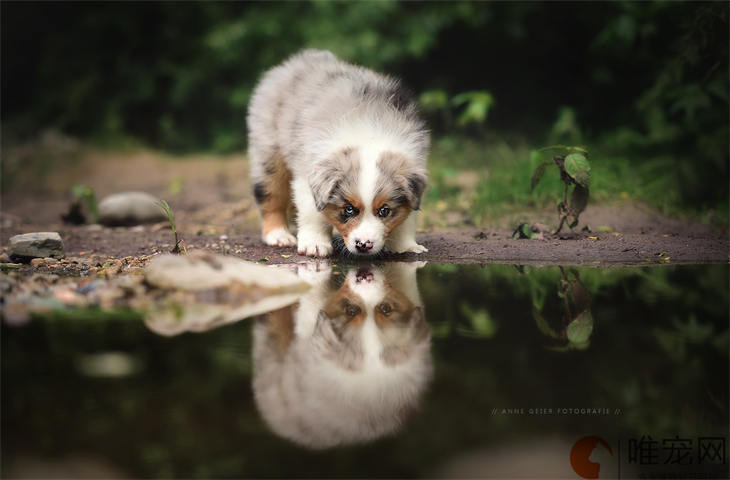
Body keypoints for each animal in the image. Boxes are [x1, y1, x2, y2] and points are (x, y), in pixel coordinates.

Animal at [246, 50, 426, 256]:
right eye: (348, 209)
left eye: (384, 211)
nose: (364, 245)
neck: (367, 134)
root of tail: (291, 63)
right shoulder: (307, 175)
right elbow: (313, 214)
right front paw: (315, 245)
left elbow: (407, 219)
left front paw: (407, 247)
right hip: (269, 155)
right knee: (270, 197)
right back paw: (278, 235)